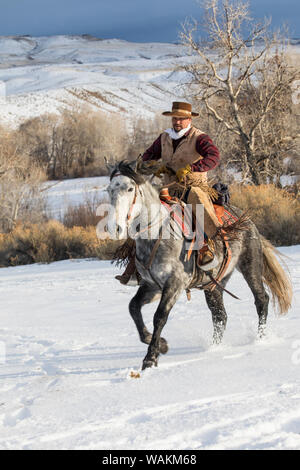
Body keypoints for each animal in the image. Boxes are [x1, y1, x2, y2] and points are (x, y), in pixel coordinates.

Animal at [105, 162, 290, 370]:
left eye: (130, 189)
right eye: (109, 190)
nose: (115, 228)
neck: (157, 235)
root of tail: (246, 220)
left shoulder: (175, 284)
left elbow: (159, 317)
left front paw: (150, 358)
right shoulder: (152, 286)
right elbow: (133, 308)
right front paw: (162, 345)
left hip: (250, 267)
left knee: (261, 300)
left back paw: (260, 339)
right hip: (214, 284)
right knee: (220, 315)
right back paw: (214, 348)